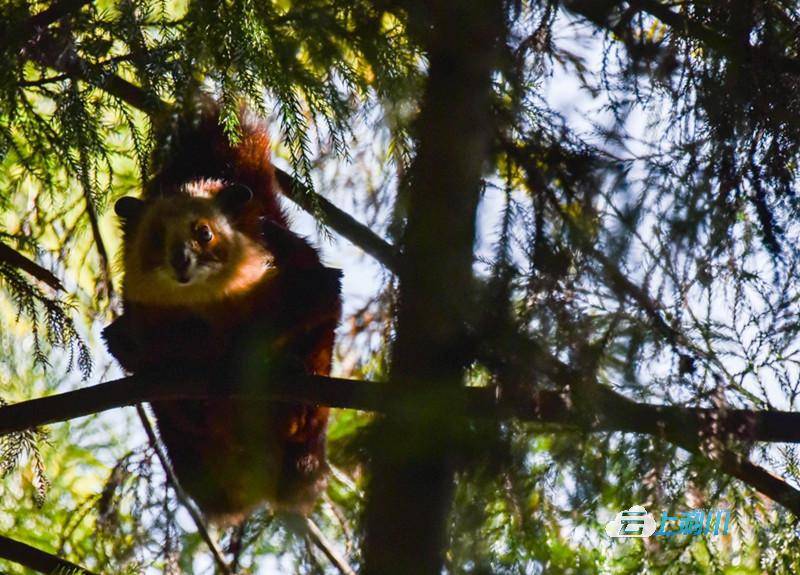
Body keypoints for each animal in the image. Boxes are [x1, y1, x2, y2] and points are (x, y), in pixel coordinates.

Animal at [103, 101, 340, 524]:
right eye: (157, 236)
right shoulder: (128, 325)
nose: (181, 260)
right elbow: (135, 352)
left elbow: (312, 306)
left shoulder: (313, 281)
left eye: (204, 233)